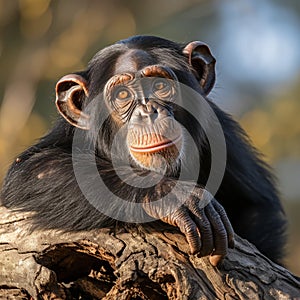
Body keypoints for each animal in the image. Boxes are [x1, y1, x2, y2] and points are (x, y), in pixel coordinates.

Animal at [0, 35, 286, 264]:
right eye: (123, 95)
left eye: (159, 86)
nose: (148, 111)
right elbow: (34, 170)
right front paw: (170, 195)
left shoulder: (220, 131)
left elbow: (255, 206)